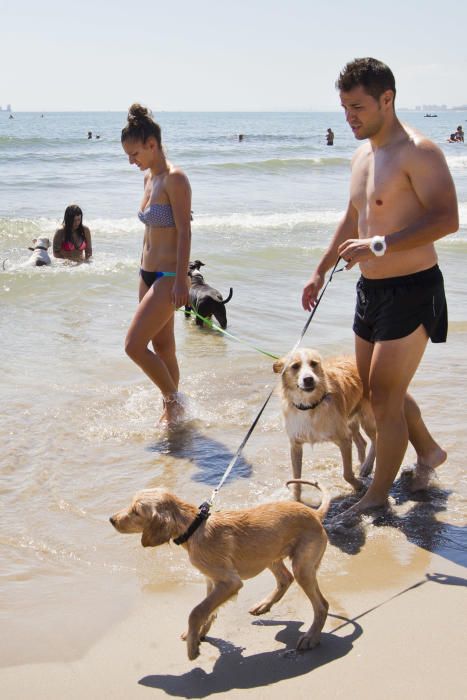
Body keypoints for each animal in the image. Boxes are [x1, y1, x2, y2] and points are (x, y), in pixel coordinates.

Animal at [109, 486, 330, 660]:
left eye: (136, 511)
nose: (111, 519)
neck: (194, 527)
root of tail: (315, 515)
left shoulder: (230, 582)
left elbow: (196, 611)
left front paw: (192, 647)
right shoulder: (212, 580)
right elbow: (208, 610)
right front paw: (197, 635)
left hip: (302, 567)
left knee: (322, 605)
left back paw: (311, 637)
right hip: (270, 555)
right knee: (285, 578)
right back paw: (264, 605)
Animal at [274, 348, 376, 500]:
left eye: (313, 363)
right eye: (295, 366)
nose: (308, 379)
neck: (310, 406)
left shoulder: (344, 439)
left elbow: (346, 473)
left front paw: (358, 485)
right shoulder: (295, 445)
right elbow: (296, 480)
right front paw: (296, 500)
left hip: (366, 418)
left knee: (376, 439)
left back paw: (367, 466)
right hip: (350, 420)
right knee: (362, 442)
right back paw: (362, 466)